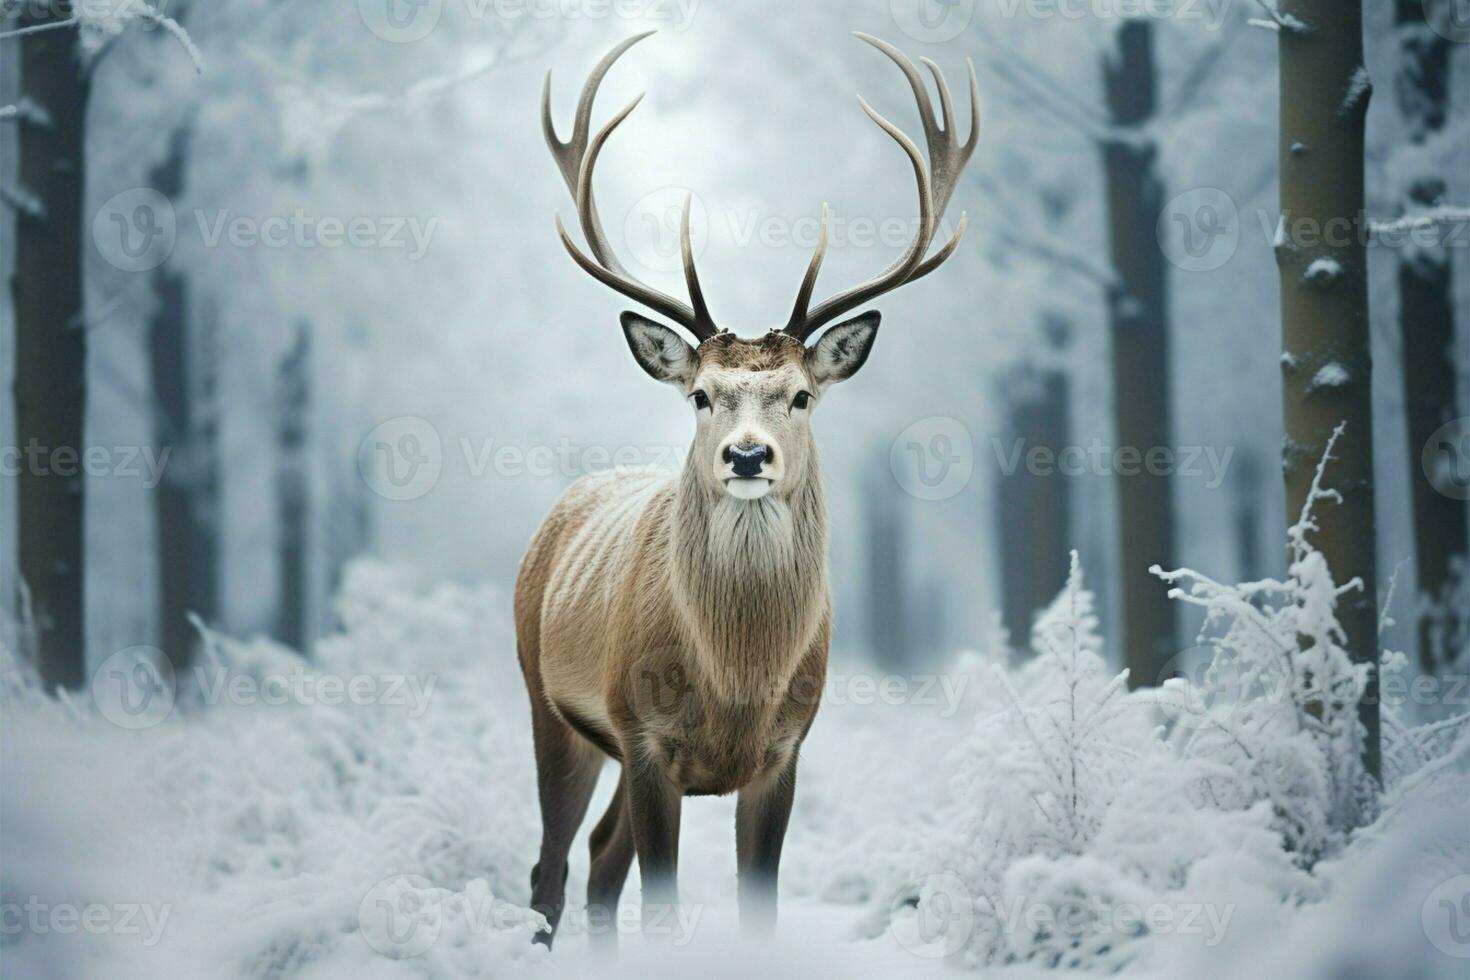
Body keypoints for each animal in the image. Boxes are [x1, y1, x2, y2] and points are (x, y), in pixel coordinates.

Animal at [511, 32, 981, 952]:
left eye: (799, 395)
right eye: (700, 394)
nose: (748, 455)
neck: (736, 682)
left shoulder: (788, 749)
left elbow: (754, 909)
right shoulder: (645, 734)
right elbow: (661, 906)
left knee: (598, 860)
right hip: (549, 702)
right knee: (552, 867)